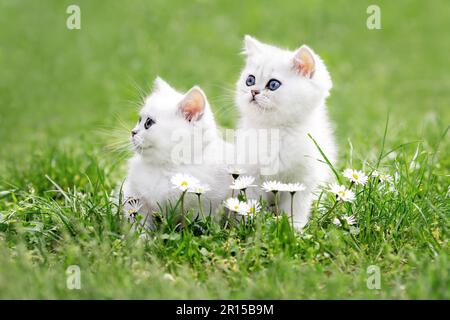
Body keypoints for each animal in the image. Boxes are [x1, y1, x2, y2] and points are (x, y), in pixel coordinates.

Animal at [122, 77, 229, 226]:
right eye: (139, 120)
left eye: (148, 123)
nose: (133, 132)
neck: (168, 167)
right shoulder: (136, 199)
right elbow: (139, 222)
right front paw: (139, 233)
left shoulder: (205, 206)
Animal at [236, 36, 338, 229]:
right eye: (250, 80)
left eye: (273, 84)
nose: (253, 91)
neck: (276, 131)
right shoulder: (251, 173)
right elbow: (252, 201)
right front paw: (249, 223)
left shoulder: (302, 179)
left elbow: (296, 207)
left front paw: (293, 227)